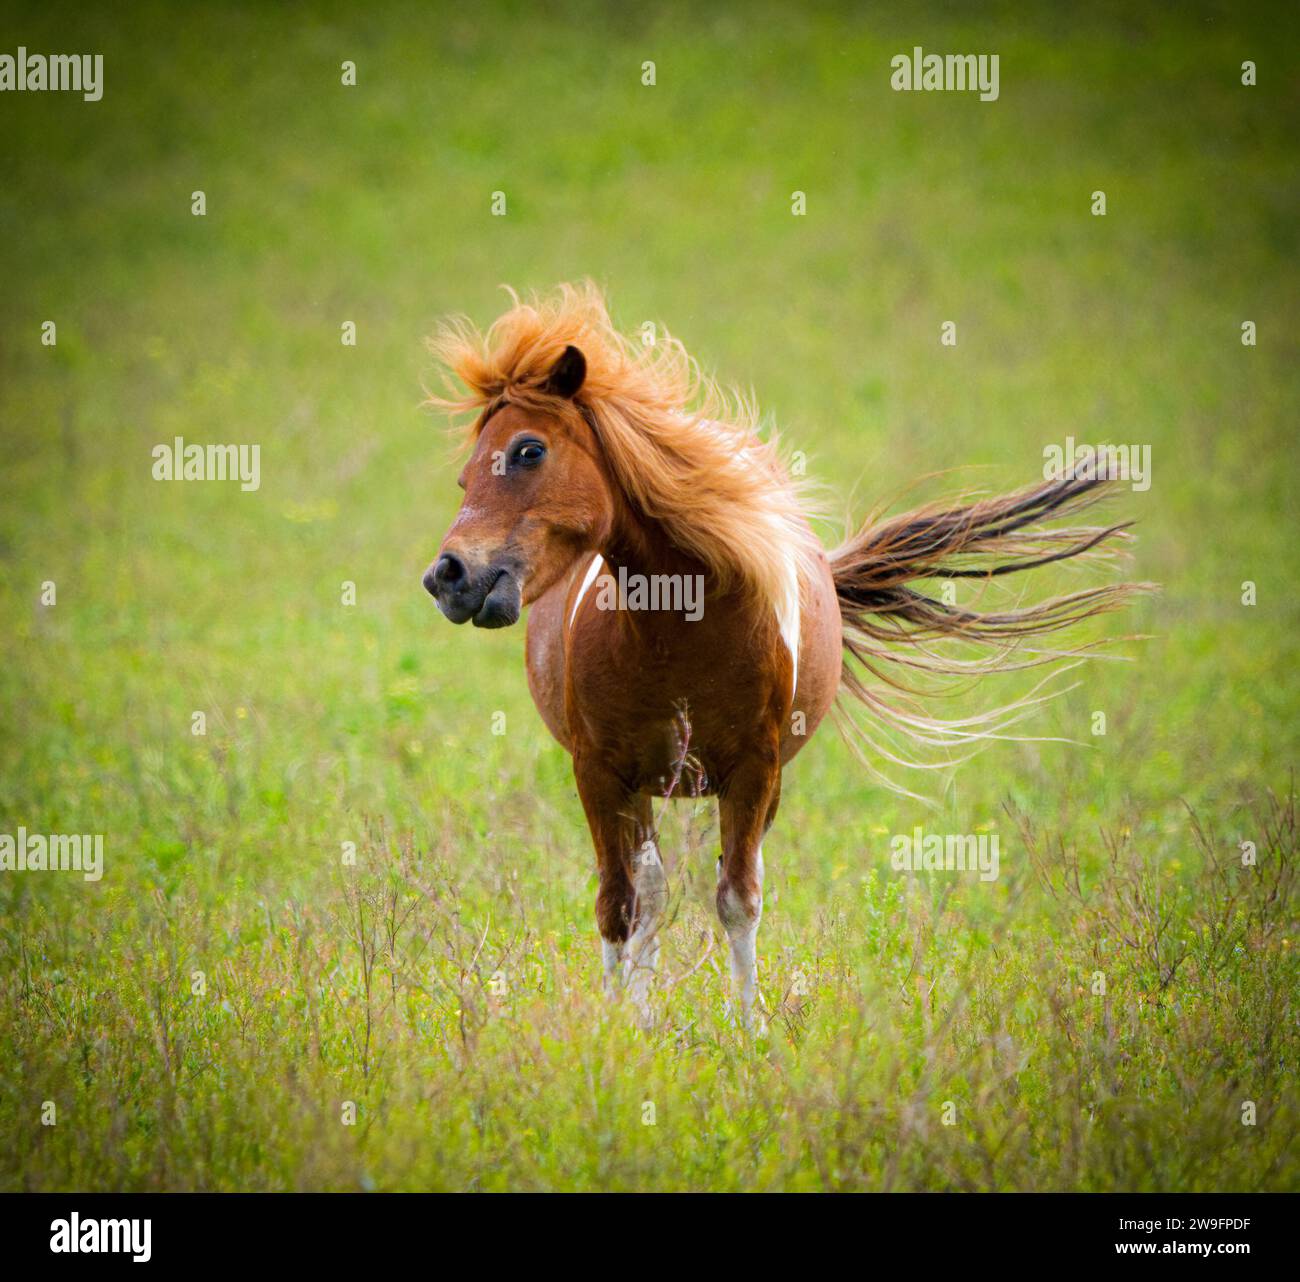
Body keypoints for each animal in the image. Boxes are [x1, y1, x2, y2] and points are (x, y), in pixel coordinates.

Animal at [421, 284, 1144, 1024]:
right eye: (465, 476)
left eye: (529, 450)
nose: (448, 575)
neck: (678, 627)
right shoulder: (598, 773)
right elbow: (618, 906)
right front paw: (622, 1027)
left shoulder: (754, 770)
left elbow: (737, 899)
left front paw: (748, 1029)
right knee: (647, 890)